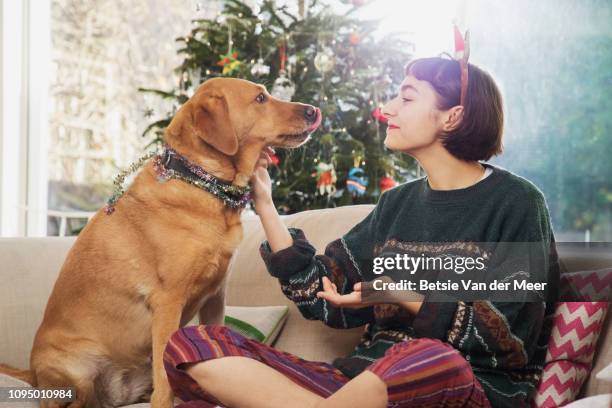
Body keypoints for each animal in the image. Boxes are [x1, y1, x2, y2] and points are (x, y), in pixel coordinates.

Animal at [0, 77, 322, 408]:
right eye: (260, 98)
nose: (314, 110)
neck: (204, 183)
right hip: (75, 374)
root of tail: (32, 374)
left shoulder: (215, 297)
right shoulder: (168, 301)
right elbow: (165, 382)